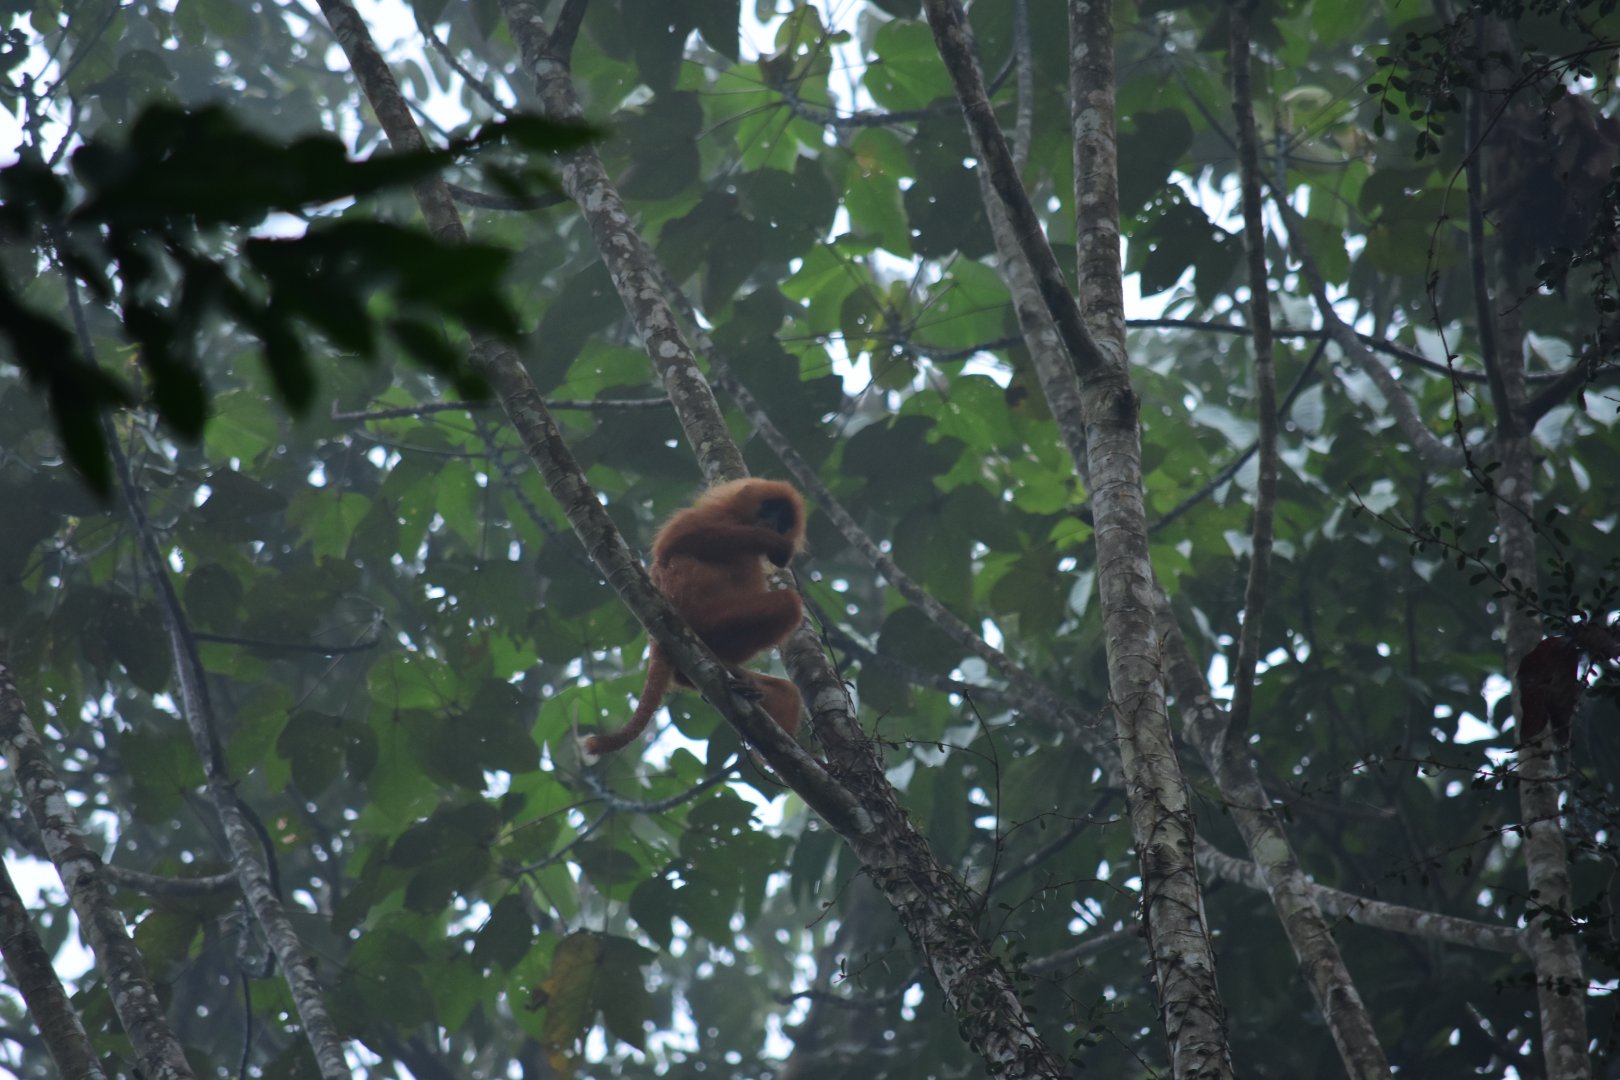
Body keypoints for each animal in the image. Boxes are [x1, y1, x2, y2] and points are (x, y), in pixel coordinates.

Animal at [582, 479, 807, 756]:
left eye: (784, 522)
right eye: (769, 510)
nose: (774, 525)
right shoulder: (710, 515)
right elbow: (678, 541)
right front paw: (773, 542)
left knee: (789, 692)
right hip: (707, 610)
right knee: (789, 604)